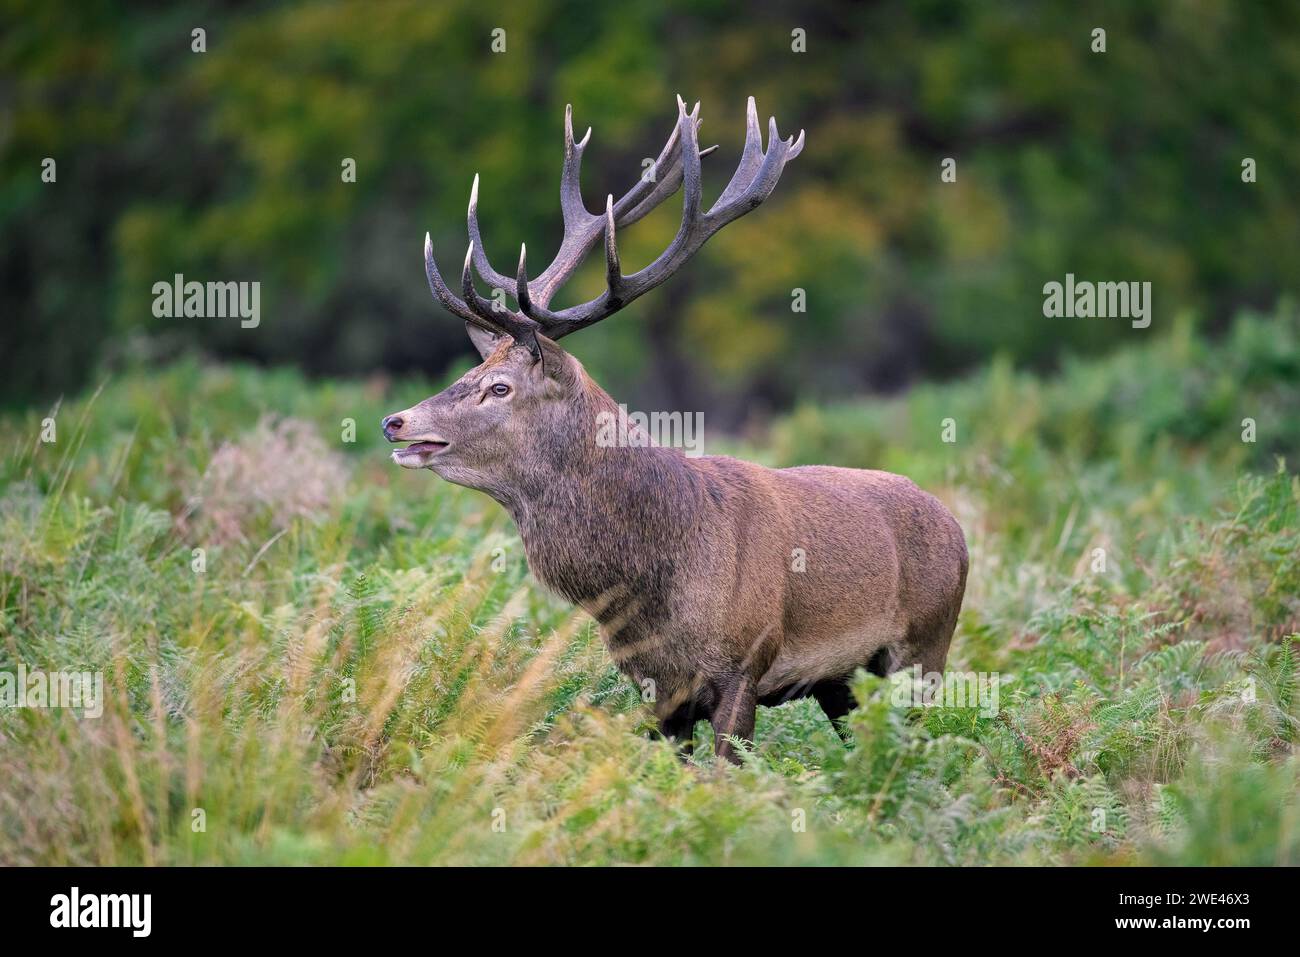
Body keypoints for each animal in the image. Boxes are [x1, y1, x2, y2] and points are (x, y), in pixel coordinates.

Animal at [379, 95, 972, 764]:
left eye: (499, 387)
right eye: (470, 371)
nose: (396, 420)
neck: (651, 586)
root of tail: (958, 529)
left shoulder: (745, 662)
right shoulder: (655, 688)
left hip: (924, 648)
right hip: (842, 681)